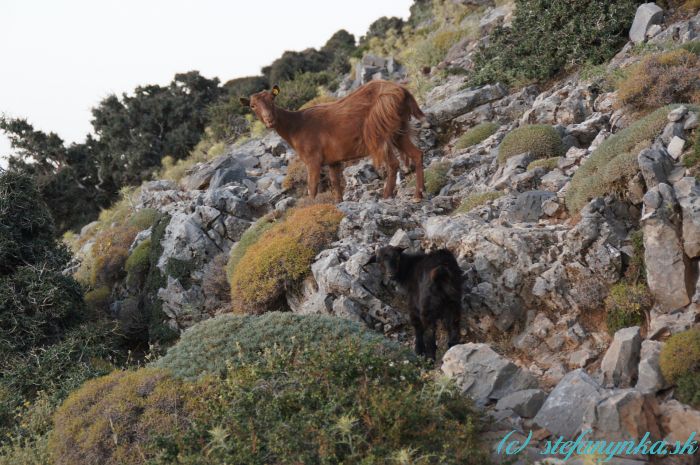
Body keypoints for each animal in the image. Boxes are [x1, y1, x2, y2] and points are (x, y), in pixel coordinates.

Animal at [241, 79, 426, 201]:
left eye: (272, 99)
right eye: (252, 106)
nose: (269, 120)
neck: (295, 126)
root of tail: (402, 91)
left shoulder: (313, 160)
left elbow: (312, 189)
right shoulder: (333, 161)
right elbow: (336, 185)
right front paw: (338, 204)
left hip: (378, 131)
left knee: (393, 163)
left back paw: (387, 195)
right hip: (398, 130)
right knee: (417, 154)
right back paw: (418, 194)